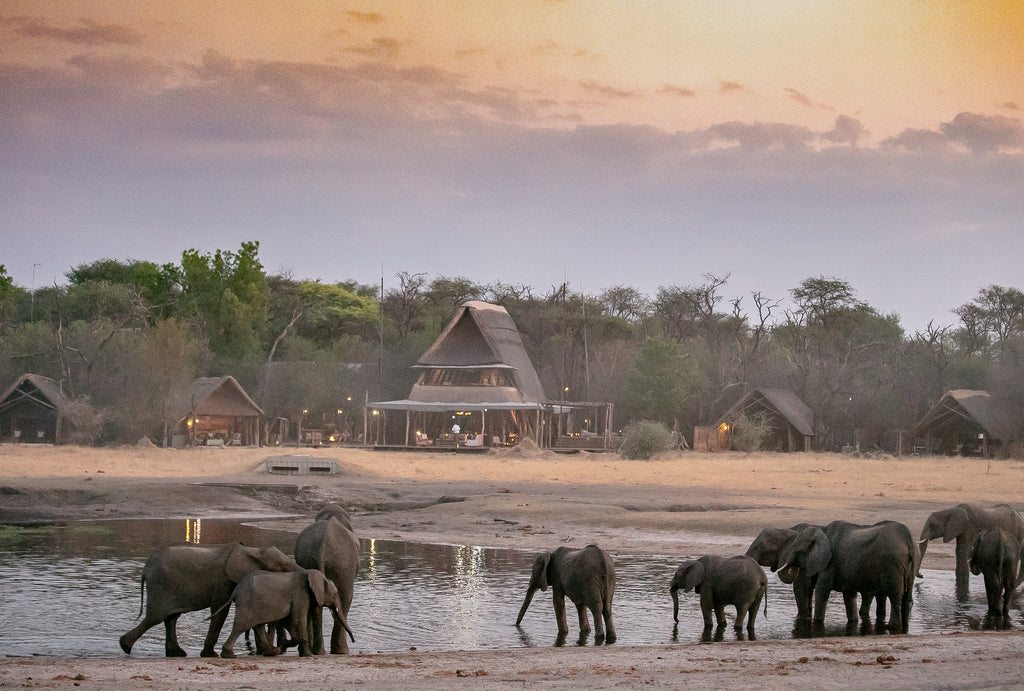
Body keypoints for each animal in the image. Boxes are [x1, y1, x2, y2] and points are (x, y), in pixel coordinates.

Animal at [119, 542, 297, 657]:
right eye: (283, 567)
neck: (252, 550)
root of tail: (146, 568)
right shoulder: (222, 582)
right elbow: (220, 613)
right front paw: (209, 655)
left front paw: (268, 652)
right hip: (161, 585)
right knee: (155, 617)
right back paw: (125, 646)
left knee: (170, 618)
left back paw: (175, 653)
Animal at [219, 568, 354, 658]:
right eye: (335, 594)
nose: (353, 641)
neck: (310, 574)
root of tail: (235, 592)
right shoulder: (300, 595)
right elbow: (299, 619)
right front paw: (308, 655)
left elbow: (290, 622)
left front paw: (284, 645)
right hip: (247, 604)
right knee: (241, 626)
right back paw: (229, 655)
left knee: (258, 626)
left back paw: (271, 652)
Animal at [294, 503, 360, 654]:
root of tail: (323, 543)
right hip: (344, 564)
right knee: (346, 597)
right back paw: (341, 651)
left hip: (311, 560)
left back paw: (317, 651)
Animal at [780, 520, 916, 633]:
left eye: (796, 550)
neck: (821, 529)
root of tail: (908, 541)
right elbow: (849, 595)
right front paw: (853, 622)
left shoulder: (830, 563)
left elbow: (822, 590)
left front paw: (817, 623)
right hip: (908, 566)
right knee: (905, 596)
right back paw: (903, 628)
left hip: (892, 563)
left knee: (895, 596)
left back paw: (891, 627)